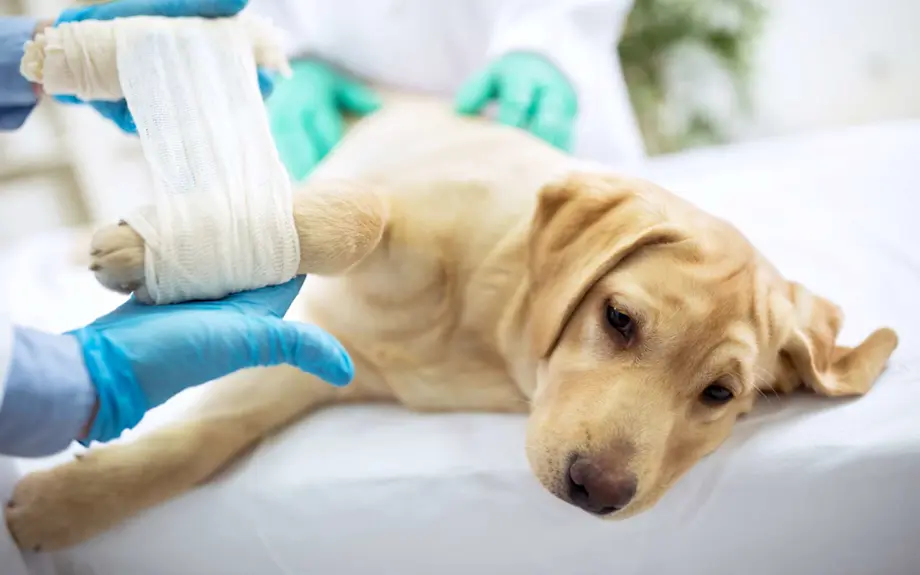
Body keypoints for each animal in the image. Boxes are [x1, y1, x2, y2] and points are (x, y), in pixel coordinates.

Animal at [4, 91, 898, 551]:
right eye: (617, 318)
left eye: (719, 395)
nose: (596, 492)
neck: (490, 330)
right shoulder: (396, 207)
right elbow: (360, 212)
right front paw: (159, 245)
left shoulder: (318, 366)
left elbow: (201, 440)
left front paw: (64, 505)